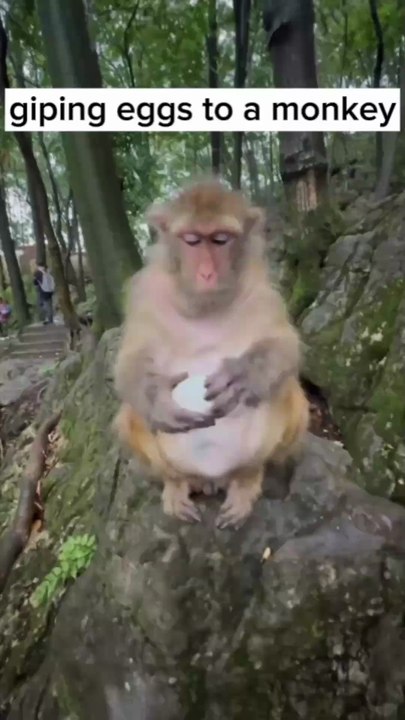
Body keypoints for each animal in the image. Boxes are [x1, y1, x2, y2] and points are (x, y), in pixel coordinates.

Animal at [113, 178, 309, 529]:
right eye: (192, 240)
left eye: (220, 239)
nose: (206, 272)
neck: (204, 306)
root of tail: (213, 477)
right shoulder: (146, 293)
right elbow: (129, 362)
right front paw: (159, 399)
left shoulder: (261, 291)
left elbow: (284, 346)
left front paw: (243, 375)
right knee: (131, 415)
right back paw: (176, 484)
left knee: (287, 393)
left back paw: (247, 480)